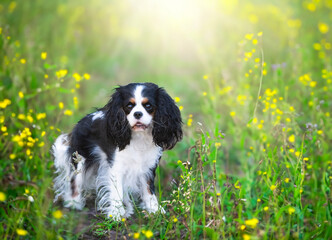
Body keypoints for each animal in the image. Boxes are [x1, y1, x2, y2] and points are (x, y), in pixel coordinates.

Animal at [52, 82, 182, 219]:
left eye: (148, 106)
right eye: (129, 106)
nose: (137, 114)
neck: (139, 137)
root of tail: (80, 122)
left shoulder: (148, 167)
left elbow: (148, 189)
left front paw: (154, 209)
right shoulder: (116, 167)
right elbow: (116, 190)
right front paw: (116, 213)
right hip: (80, 158)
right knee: (75, 181)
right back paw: (73, 203)